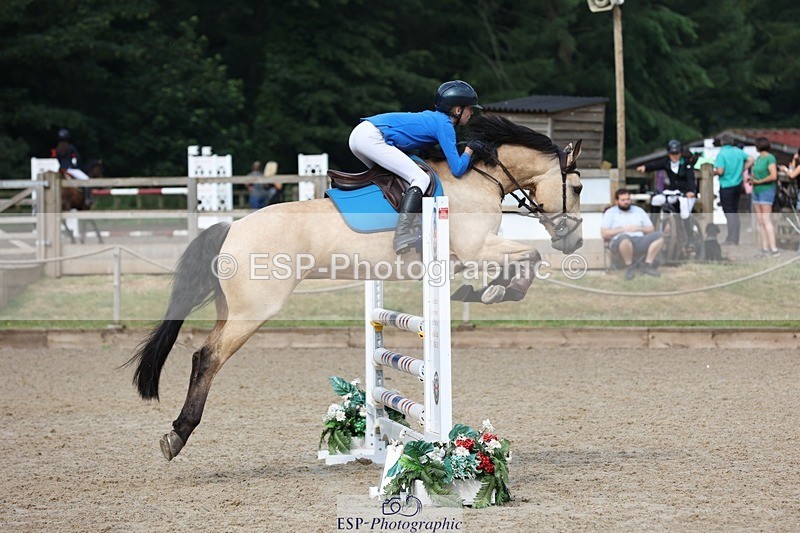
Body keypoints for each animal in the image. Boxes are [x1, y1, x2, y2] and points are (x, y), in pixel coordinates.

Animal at [127, 115, 584, 461]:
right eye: (578, 187)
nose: (574, 242)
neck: (480, 178)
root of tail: (232, 227)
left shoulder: (473, 253)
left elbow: (524, 259)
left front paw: (488, 291)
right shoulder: (475, 249)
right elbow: (530, 256)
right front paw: (493, 291)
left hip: (232, 309)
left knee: (202, 355)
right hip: (254, 311)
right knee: (208, 357)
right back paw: (178, 435)